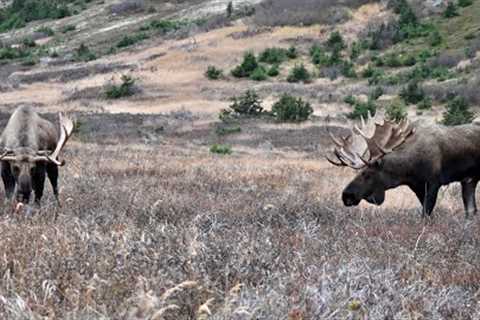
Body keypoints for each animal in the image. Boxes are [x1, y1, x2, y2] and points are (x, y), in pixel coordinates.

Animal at [328, 112, 480, 218]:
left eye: (367, 174)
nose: (346, 195)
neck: (408, 169)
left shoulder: (433, 183)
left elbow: (426, 215)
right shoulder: (417, 186)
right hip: (469, 180)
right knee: (471, 211)